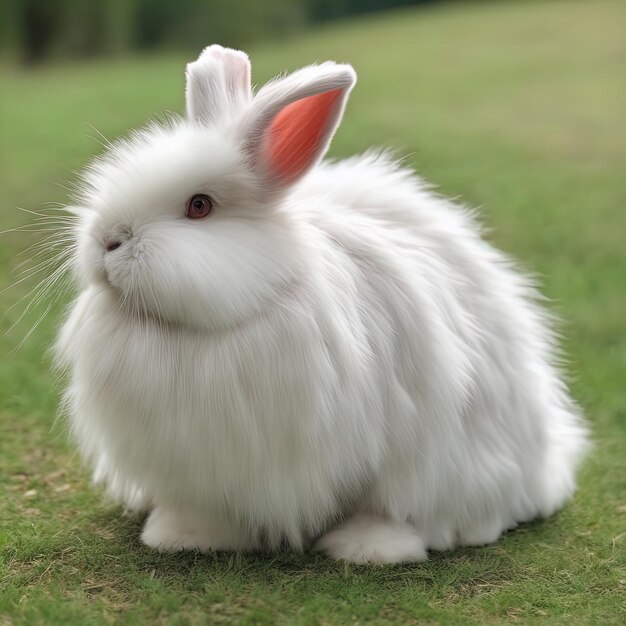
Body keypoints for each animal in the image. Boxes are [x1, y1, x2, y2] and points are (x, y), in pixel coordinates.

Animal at [53, 44, 584, 560]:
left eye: (199, 206)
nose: (107, 242)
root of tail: (545, 468)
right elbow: (205, 511)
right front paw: (179, 537)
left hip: (443, 464)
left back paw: (368, 548)